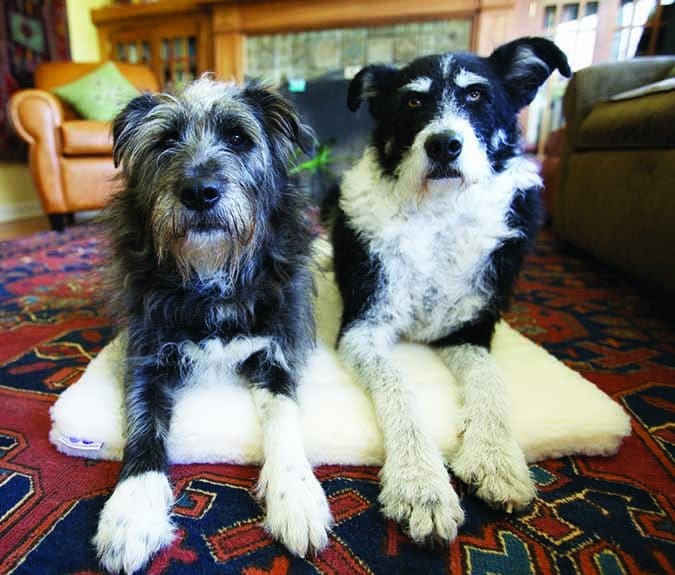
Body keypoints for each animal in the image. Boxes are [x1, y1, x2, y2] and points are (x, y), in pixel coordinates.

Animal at [92, 77, 332, 575]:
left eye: (239, 138)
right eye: (165, 142)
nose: (199, 191)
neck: (212, 274)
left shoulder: (276, 354)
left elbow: (284, 417)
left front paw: (297, 495)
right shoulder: (147, 358)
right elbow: (143, 429)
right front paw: (130, 513)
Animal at [332, 39, 572, 544]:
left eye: (477, 94)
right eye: (412, 102)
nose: (444, 143)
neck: (438, 212)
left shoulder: (471, 331)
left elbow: (490, 384)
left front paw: (497, 460)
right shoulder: (363, 326)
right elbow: (398, 386)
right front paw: (421, 484)